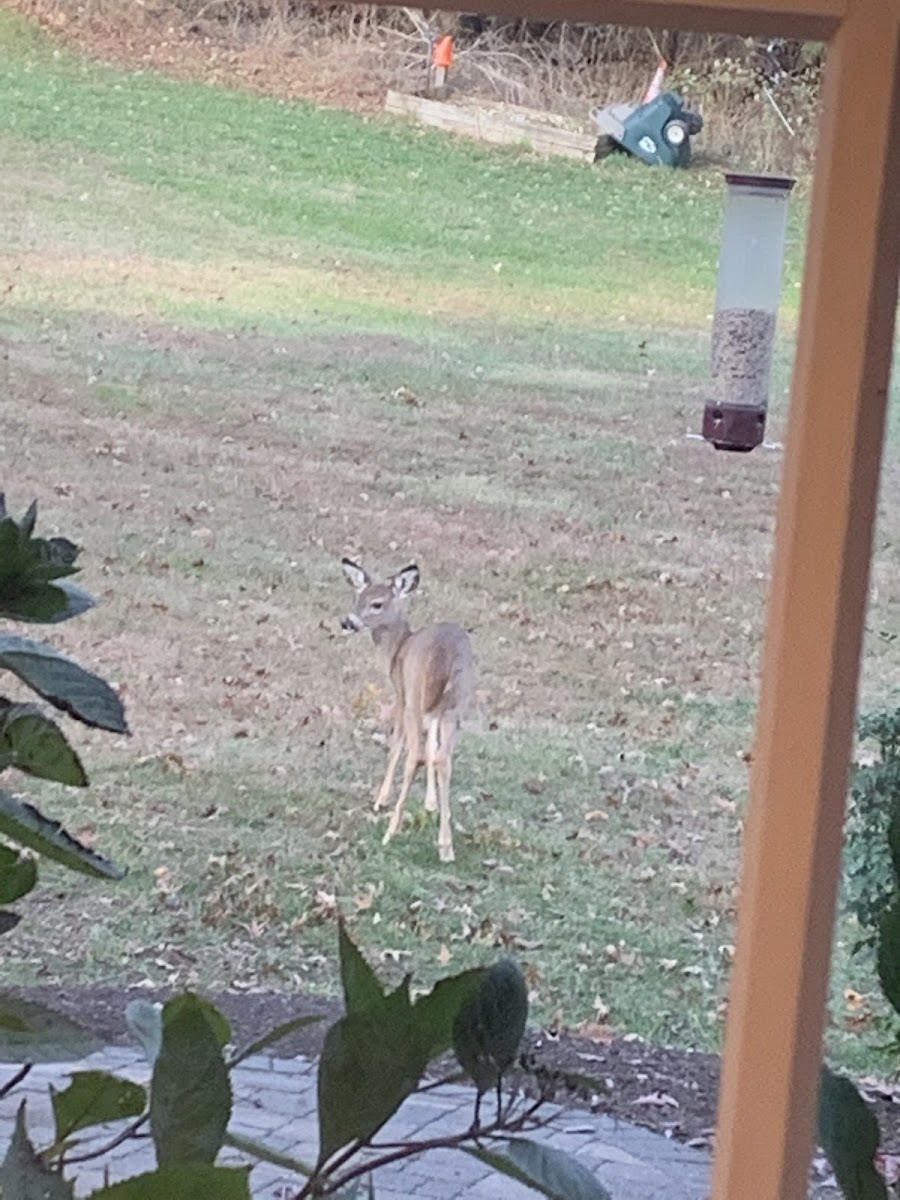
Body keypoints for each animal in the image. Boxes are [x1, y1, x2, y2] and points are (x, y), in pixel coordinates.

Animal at [340, 561, 475, 864]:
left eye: (377, 603)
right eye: (357, 598)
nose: (347, 622)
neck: (397, 648)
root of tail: (444, 656)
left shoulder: (401, 695)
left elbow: (396, 745)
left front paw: (381, 799)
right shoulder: (434, 710)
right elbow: (434, 747)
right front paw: (431, 804)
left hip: (415, 694)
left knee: (415, 755)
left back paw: (390, 831)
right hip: (457, 702)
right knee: (443, 758)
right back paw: (446, 846)